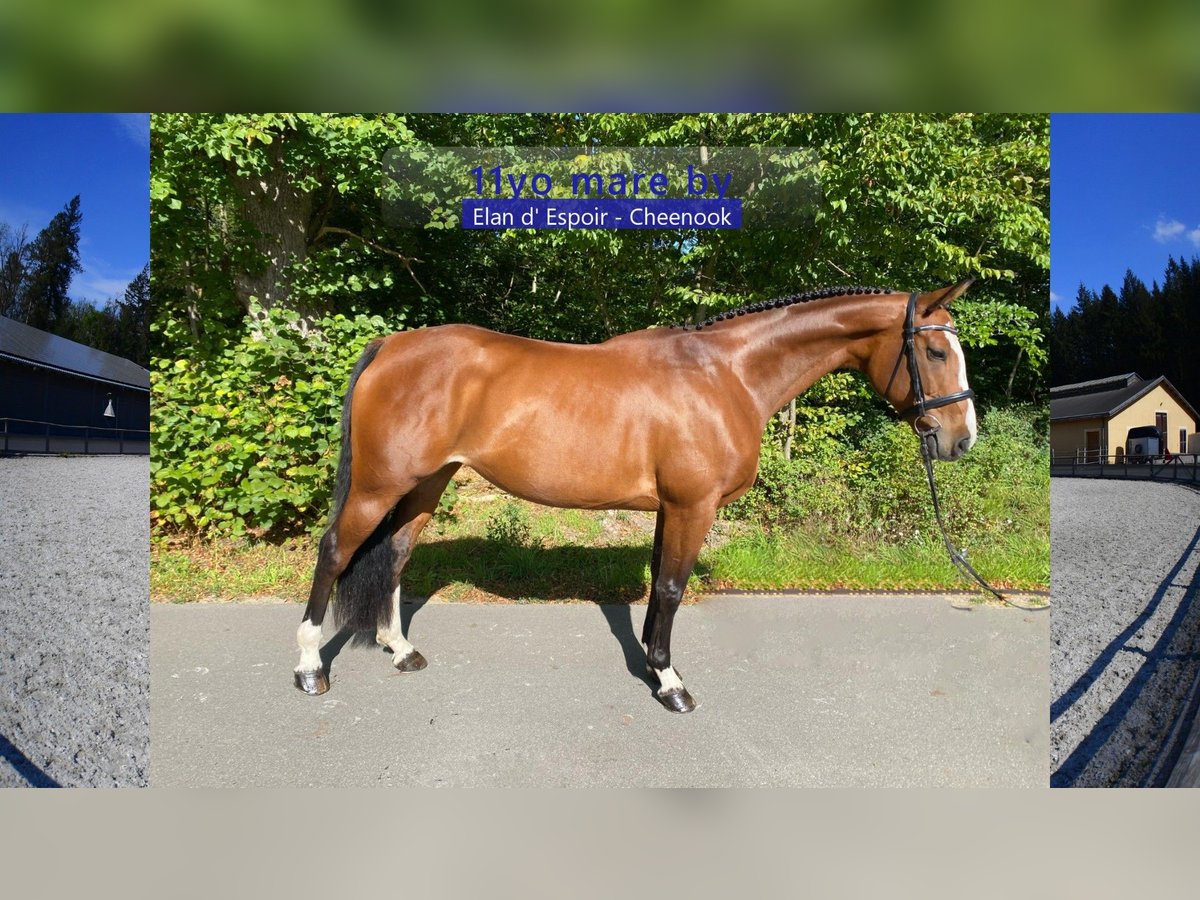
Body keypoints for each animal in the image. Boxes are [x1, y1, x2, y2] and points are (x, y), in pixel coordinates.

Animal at [293, 281, 979, 713]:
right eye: (934, 350)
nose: (961, 439)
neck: (725, 375)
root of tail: (393, 345)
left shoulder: (670, 509)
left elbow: (658, 586)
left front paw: (653, 665)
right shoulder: (693, 506)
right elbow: (672, 587)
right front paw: (672, 684)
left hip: (426, 483)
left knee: (396, 554)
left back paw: (401, 650)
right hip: (379, 484)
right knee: (334, 552)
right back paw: (309, 671)